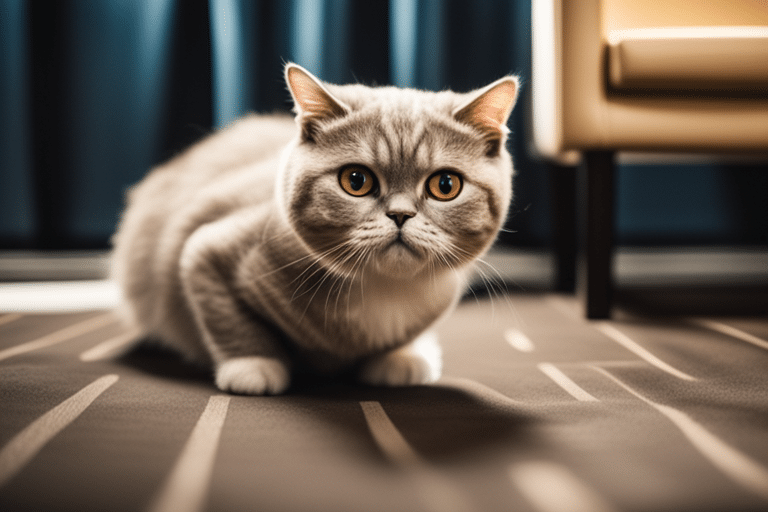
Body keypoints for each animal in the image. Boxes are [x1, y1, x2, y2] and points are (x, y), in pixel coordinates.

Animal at [111, 62, 520, 394]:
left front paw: (400, 356)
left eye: (445, 185)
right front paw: (252, 366)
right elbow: (227, 316)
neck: (384, 289)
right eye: (356, 180)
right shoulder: (205, 249)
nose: (401, 215)